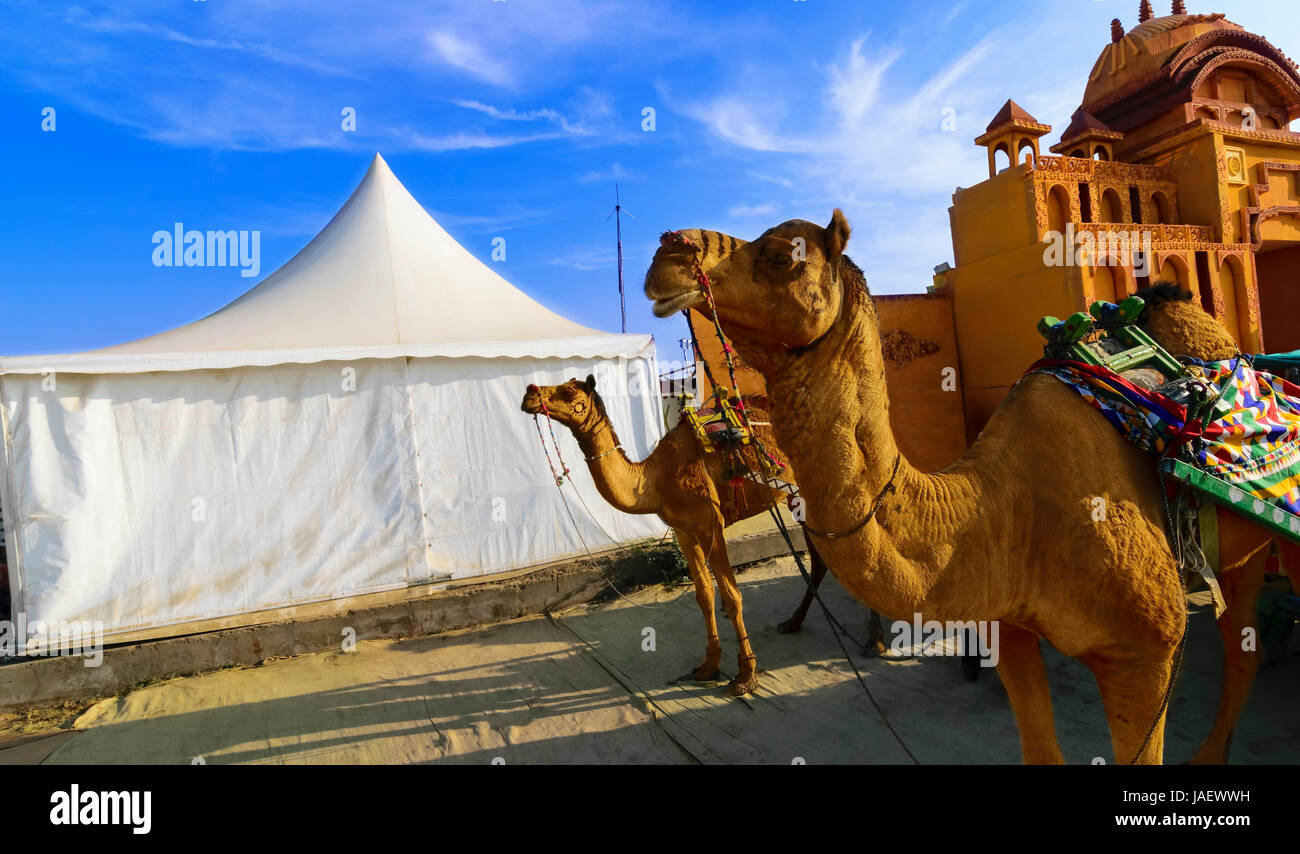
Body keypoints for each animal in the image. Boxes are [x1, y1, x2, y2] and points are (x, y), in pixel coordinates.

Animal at [517, 376, 873, 691]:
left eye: (567, 391)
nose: (529, 392)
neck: (656, 478)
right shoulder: (684, 531)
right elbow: (703, 595)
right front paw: (707, 667)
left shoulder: (710, 524)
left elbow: (731, 597)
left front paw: (745, 677)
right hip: (798, 496)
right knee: (821, 555)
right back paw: (794, 623)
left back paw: (875, 641)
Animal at [639, 209, 1279, 764]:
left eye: (778, 255)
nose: (667, 248)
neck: (1000, 513)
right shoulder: (1010, 627)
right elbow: (1040, 750)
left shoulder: (1146, 654)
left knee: (1242, 644)